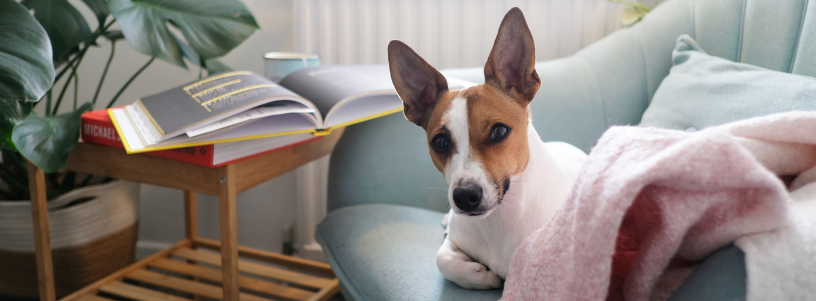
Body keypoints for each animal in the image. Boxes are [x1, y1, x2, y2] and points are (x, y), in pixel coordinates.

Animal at [388, 7, 588, 288]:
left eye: (499, 131)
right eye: (440, 142)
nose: (464, 197)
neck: (499, 220)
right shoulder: (455, 240)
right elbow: (443, 260)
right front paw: (482, 276)